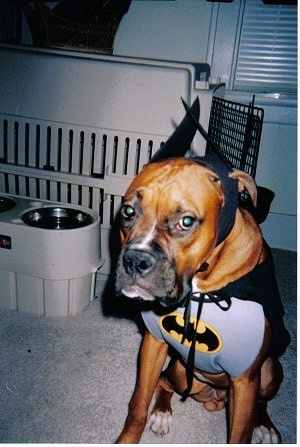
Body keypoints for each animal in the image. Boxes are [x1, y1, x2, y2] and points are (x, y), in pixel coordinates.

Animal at [113, 99, 290, 444]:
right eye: (127, 211)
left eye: (186, 222)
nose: (136, 261)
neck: (202, 285)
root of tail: (214, 399)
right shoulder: (153, 345)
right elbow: (138, 404)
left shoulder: (246, 379)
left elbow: (239, 433)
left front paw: (255, 426)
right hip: (183, 372)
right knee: (165, 384)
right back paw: (162, 412)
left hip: (270, 372)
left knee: (261, 402)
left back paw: (264, 425)